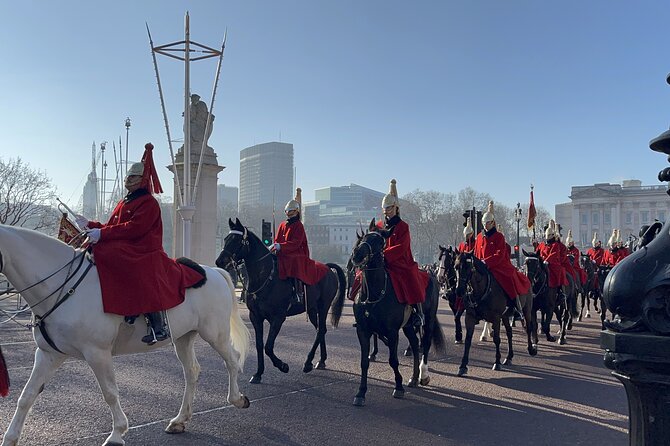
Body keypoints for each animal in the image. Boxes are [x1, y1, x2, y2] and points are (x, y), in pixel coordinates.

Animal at [0, 226, 252, 446]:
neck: (64, 286)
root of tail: (213, 271)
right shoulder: (49, 354)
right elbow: (27, 395)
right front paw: (10, 439)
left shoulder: (97, 353)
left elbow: (110, 393)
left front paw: (117, 433)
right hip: (183, 338)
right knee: (192, 372)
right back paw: (180, 420)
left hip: (215, 334)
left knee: (232, 360)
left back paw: (237, 399)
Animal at [218, 218, 350, 382]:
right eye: (226, 239)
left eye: (236, 240)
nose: (219, 261)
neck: (265, 277)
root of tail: (327, 267)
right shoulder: (255, 316)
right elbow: (260, 345)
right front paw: (258, 373)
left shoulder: (278, 317)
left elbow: (268, 346)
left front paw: (283, 366)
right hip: (312, 309)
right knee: (321, 330)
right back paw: (321, 360)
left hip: (323, 306)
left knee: (320, 330)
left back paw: (308, 362)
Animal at [352, 220, 446, 408]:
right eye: (364, 237)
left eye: (380, 242)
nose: (357, 255)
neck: (374, 294)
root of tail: (431, 275)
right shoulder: (363, 330)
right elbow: (364, 362)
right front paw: (361, 392)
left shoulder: (392, 331)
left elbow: (393, 360)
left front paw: (398, 386)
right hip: (408, 326)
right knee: (415, 344)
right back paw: (414, 378)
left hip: (428, 320)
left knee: (424, 344)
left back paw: (423, 375)